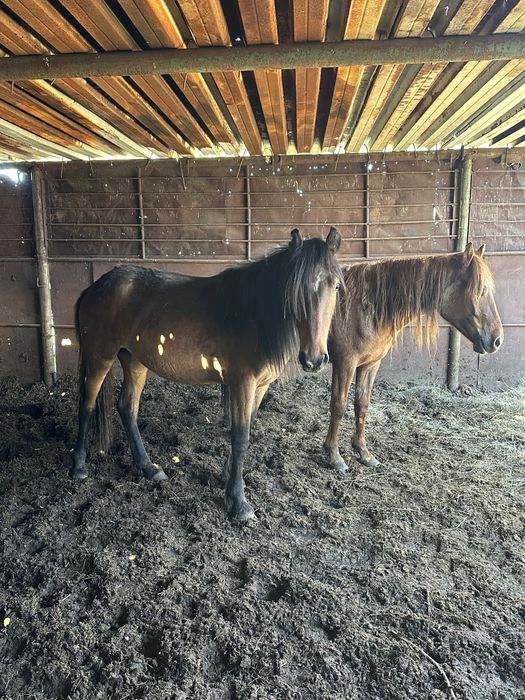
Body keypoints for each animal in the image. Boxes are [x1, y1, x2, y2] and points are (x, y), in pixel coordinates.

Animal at [71, 227, 343, 521]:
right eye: (295, 289)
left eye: (336, 286)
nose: (314, 360)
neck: (253, 315)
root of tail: (96, 287)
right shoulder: (242, 384)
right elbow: (241, 436)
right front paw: (238, 502)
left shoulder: (259, 387)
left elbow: (247, 426)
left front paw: (229, 476)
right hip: (100, 357)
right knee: (87, 405)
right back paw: (79, 466)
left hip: (134, 361)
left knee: (127, 408)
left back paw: (149, 468)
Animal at [324, 242, 504, 472]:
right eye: (480, 291)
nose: (497, 340)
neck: (363, 307)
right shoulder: (345, 364)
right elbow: (338, 405)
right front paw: (334, 455)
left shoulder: (370, 364)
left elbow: (362, 404)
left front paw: (363, 452)